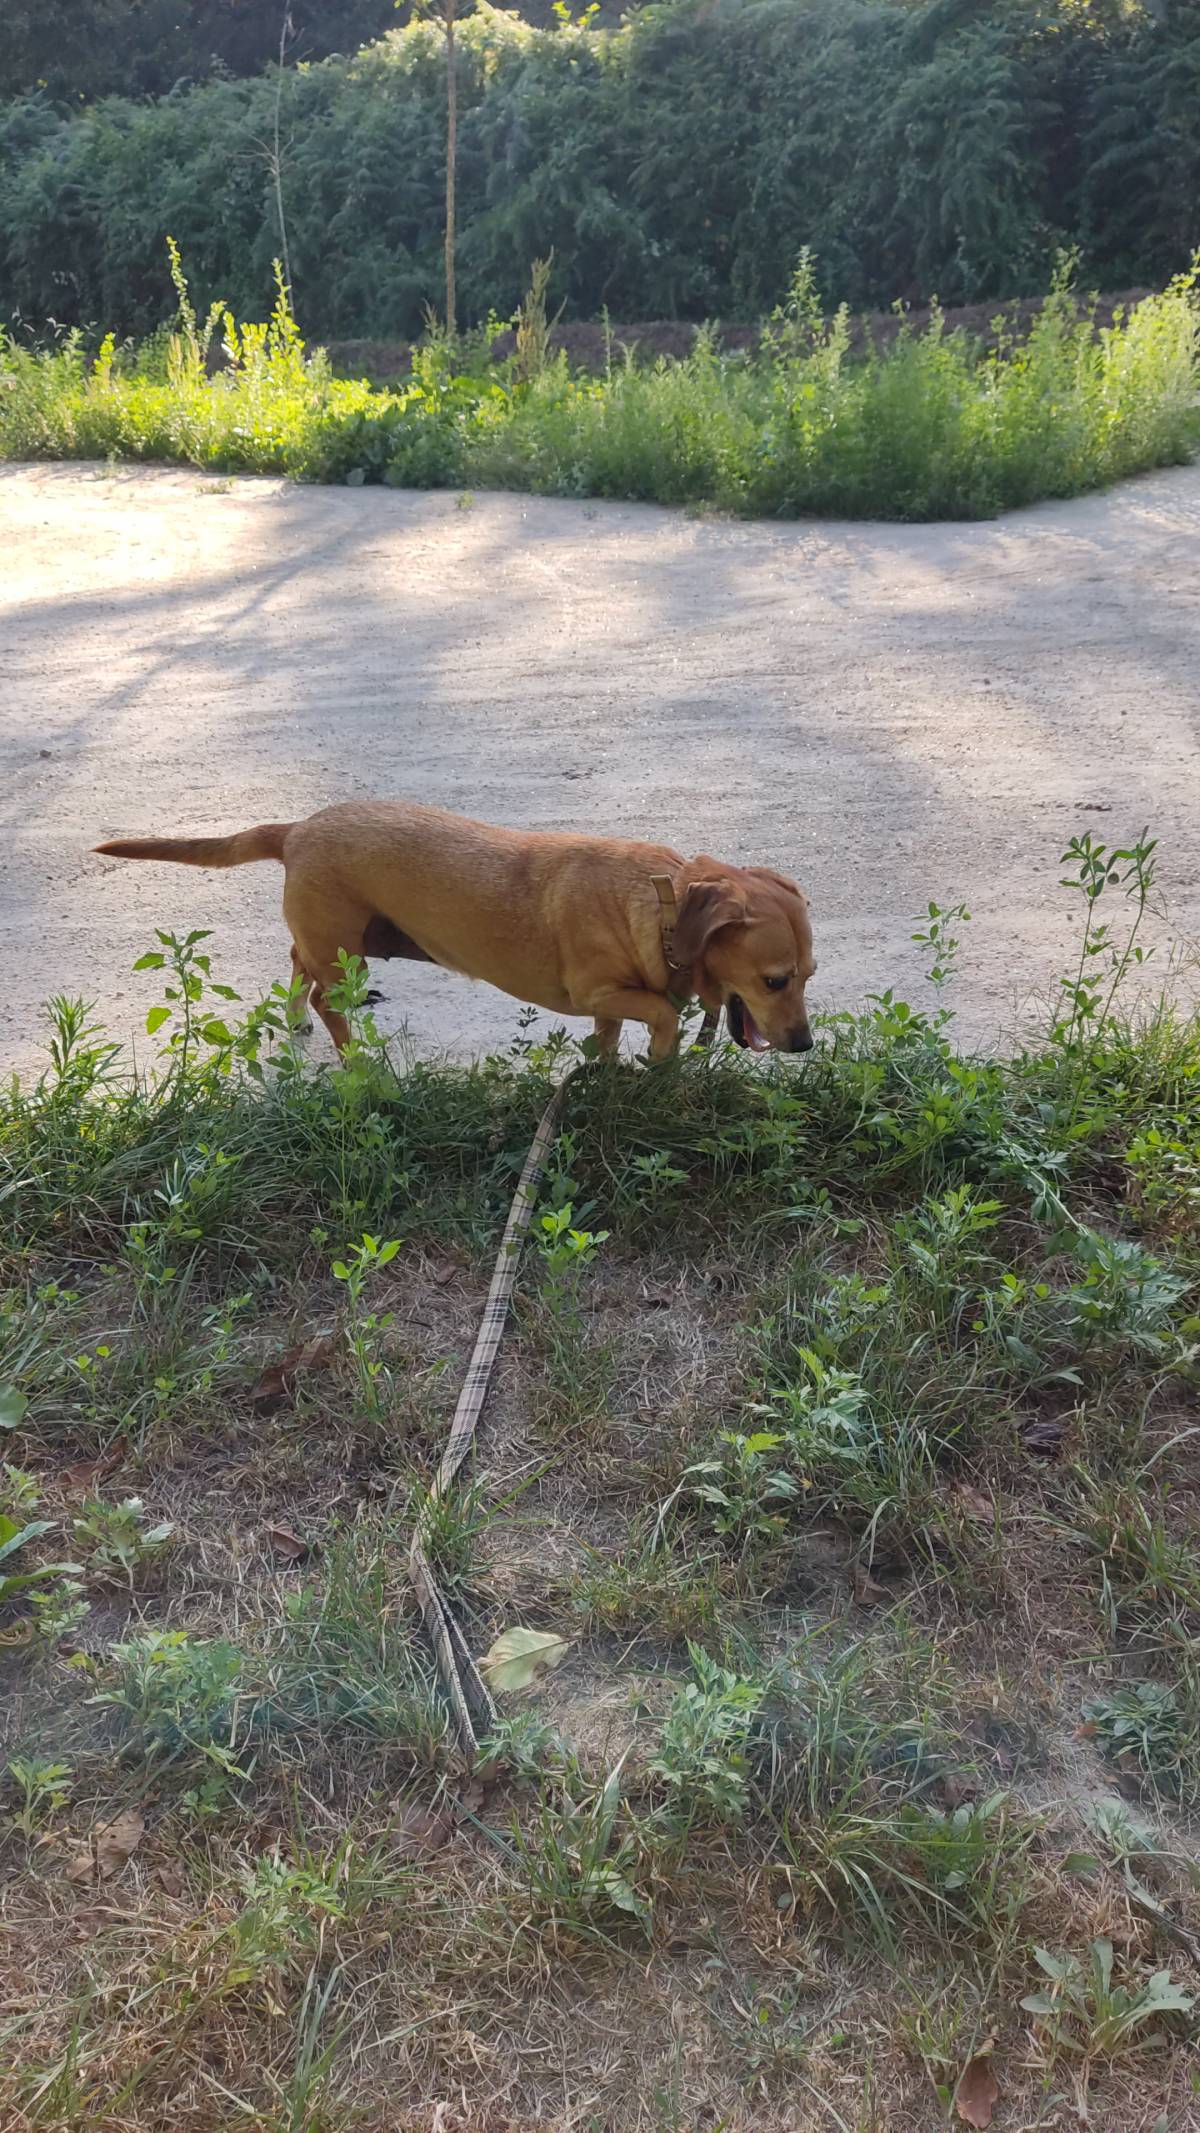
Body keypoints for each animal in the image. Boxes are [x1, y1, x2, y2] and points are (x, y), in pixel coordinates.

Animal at [96, 797, 818, 1062]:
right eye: (774, 981)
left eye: (809, 977)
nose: (805, 1045)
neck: (664, 904)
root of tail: (298, 829)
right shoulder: (599, 993)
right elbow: (660, 1017)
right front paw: (661, 1063)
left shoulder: (608, 1006)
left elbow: (609, 1042)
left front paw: (609, 1073)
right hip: (346, 953)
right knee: (329, 999)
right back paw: (355, 1058)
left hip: (340, 941)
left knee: (297, 964)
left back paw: (297, 1020)